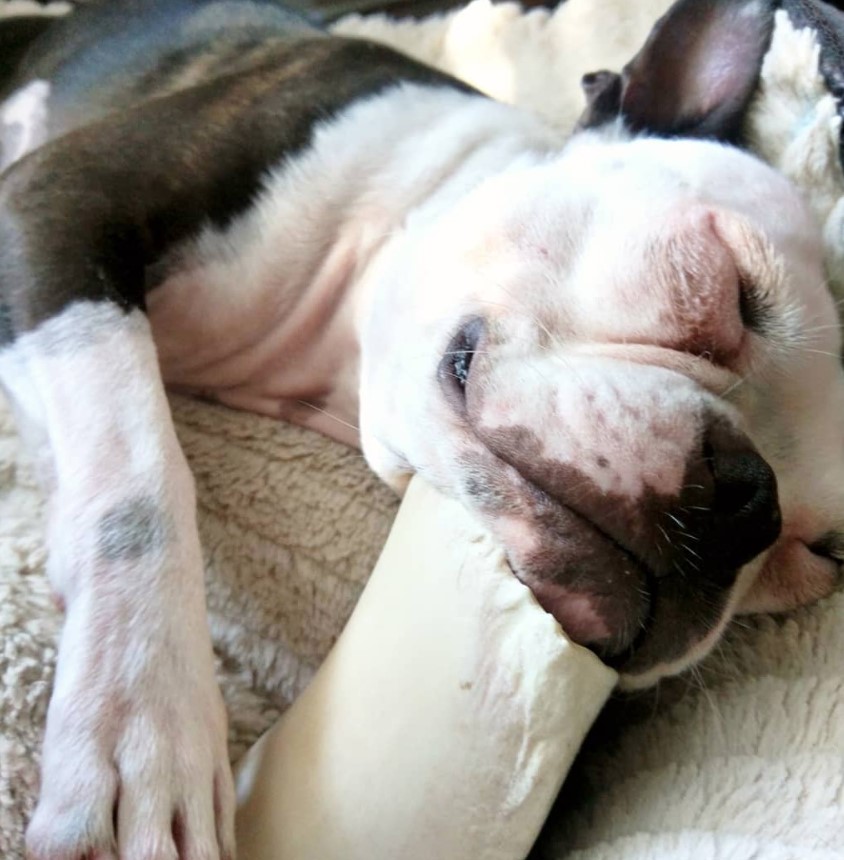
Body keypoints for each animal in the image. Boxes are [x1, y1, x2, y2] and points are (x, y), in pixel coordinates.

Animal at [1, 0, 844, 856]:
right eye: (733, 290)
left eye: (817, 554)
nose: (750, 501)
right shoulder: (54, 198)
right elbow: (138, 476)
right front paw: (144, 721)